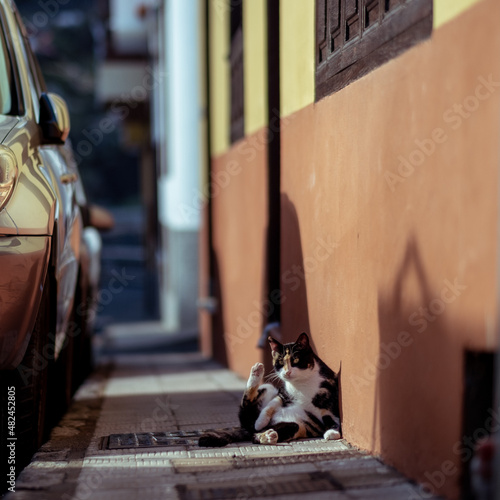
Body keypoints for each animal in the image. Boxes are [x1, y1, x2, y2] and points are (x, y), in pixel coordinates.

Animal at [197, 332, 342, 446]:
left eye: (295, 359)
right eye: (280, 362)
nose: (287, 372)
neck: (301, 385)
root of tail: (247, 427)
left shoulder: (330, 397)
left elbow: (332, 418)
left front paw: (333, 432)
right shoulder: (282, 392)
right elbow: (272, 404)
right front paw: (261, 421)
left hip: (295, 425)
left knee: (256, 436)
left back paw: (268, 436)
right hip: (268, 387)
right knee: (247, 404)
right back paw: (256, 373)